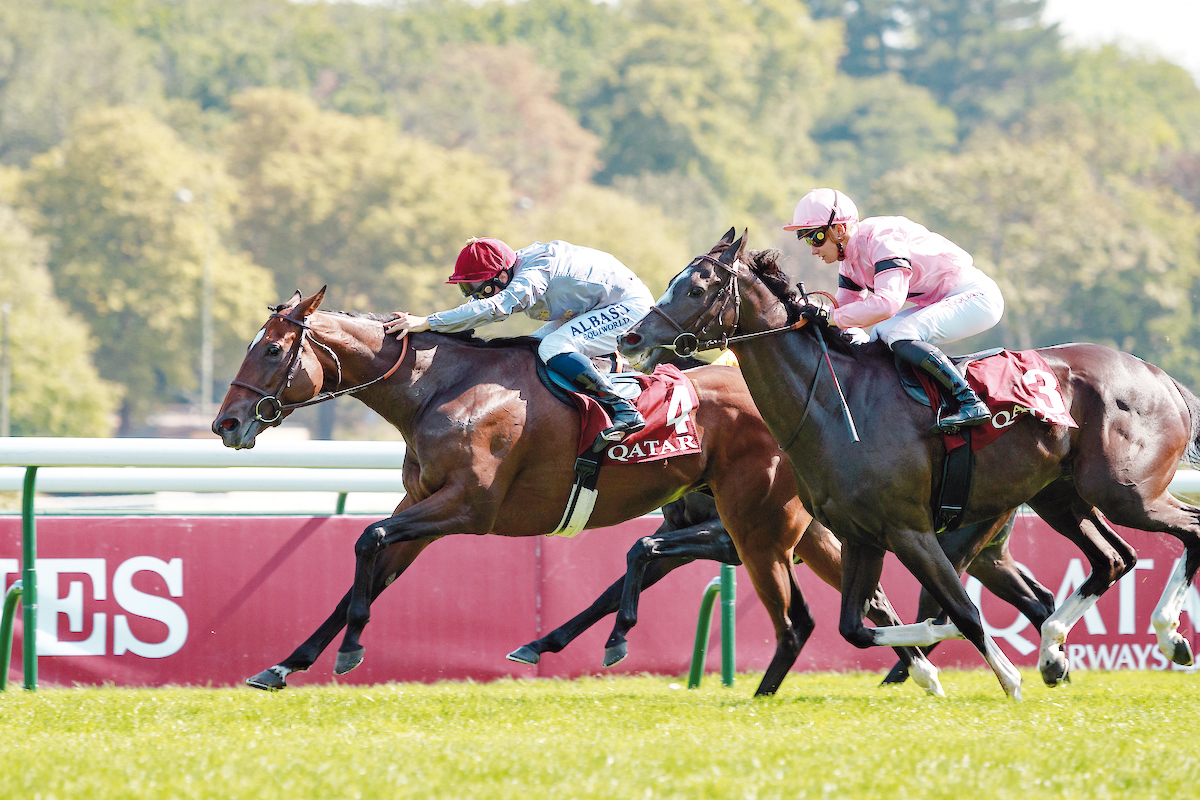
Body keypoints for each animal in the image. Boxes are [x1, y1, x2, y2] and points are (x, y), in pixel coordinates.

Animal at [216, 286, 945, 695]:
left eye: (273, 351)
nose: (226, 423)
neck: (442, 388)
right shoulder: (419, 507)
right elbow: (366, 569)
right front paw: (286, 665)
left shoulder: (467, 508)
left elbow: (366, 539)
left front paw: (350, 650)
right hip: (785, 520)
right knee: (858, 581)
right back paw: (918, 665)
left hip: (752, 517)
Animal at [619, 231, 1200, 700]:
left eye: (696, 288)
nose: (632, 337)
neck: (836, 405)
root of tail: (1159, 375)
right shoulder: (862, 535)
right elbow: (857, 627)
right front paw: (930, 667)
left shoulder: (910, 530)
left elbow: (960, 611)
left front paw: (1005, 676)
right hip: (1062, 495)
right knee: (1114, 558)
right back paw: (1058, 648)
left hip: (1126, 491)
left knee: (1186, 532)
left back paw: (1164, 634)